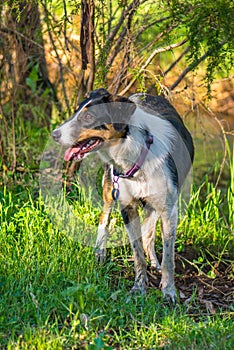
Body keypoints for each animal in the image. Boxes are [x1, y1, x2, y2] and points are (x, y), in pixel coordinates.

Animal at [52, 88, 194, 300]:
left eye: (89, 117)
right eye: (76, 111)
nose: (53, 134)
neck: (138, 154)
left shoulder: (169, 210)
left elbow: (168, 257)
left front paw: (168, 290)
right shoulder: (127, 207)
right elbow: (137, 254)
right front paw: (139, 287)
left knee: (148, 231)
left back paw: (155, 262)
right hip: (110, 187)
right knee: (104, 217)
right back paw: (100, 252)